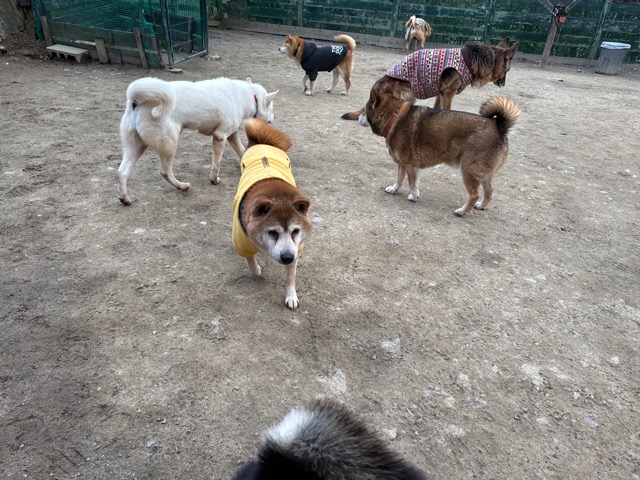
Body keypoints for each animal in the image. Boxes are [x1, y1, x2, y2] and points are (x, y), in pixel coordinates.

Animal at [117, 76, 278, 205]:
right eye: (271, 108)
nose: (274, 118)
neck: (249, 96)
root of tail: (135, 101)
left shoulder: (232, 135)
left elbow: (243, 151)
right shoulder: (220, 136)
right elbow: (216, 164)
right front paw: (214, 180)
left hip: (137, 147)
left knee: (122, 172)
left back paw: (125, 198)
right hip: (169, 144)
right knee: (165, 172)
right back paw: (182, 186)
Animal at [232, 119, 312, 310]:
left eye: (295, 231)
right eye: (273, 232)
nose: (287, 257)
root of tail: (262, 142)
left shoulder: (296, 248)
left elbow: (291, 277)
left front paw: (291, 296)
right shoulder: (243, 244)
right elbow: (253, 267)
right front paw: (257, 270)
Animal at [342, 38, 518, 121]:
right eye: (508, 70)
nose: (503, 84)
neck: (471, 60)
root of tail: (378, 84)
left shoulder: (441, 93)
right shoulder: (448, 93)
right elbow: (448, 110)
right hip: (405, 96)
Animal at [363, 82, 520, 215]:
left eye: (364, 110)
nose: (359, 117)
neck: (394, 117)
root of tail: (499, 128)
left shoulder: (408, 165)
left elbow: (411, 183)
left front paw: (413, 196)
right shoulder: (407, 165)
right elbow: (401, 179)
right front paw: (395, 189)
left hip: (468, 170)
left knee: (475, 195)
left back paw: (462, 211)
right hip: (482, 174)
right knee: (489, 191)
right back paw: (482, 206)